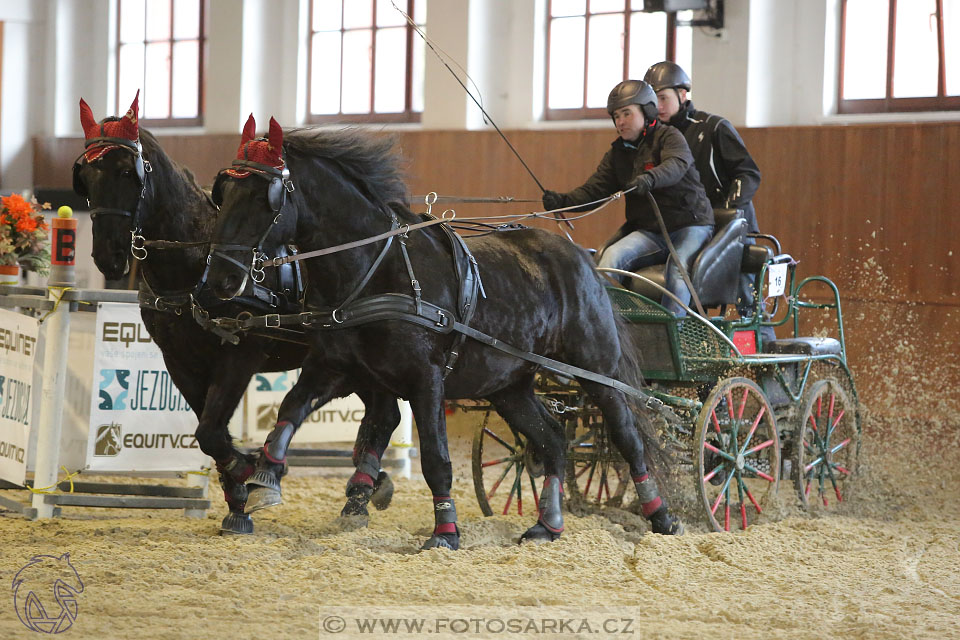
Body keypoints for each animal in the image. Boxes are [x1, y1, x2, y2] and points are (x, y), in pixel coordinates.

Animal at [73, 97, 400, 532]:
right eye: (86, 177)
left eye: (128, 171)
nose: (108, 256)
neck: (194, 266)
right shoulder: (179, 361)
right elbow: (208, 431)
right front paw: (237, 497)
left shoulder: (240, 355)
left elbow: (211, 430)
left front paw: (250, 473)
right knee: (384, 412)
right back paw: (367, 487)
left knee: (385, 413)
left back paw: (360, 493)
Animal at [204, 121, 684, 552]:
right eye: (223, 192)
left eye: (264, 197)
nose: (220, 280)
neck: (375, 268)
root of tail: (582, 258)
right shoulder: (333, 368)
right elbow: (289, 410)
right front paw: (264, 478)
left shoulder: (426, 379)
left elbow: (436, 458)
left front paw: (445, 532)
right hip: (509, 384)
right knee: (552, 439)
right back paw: (548, 524)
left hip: (595, 370)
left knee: (627, 437)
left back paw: (660, 515)